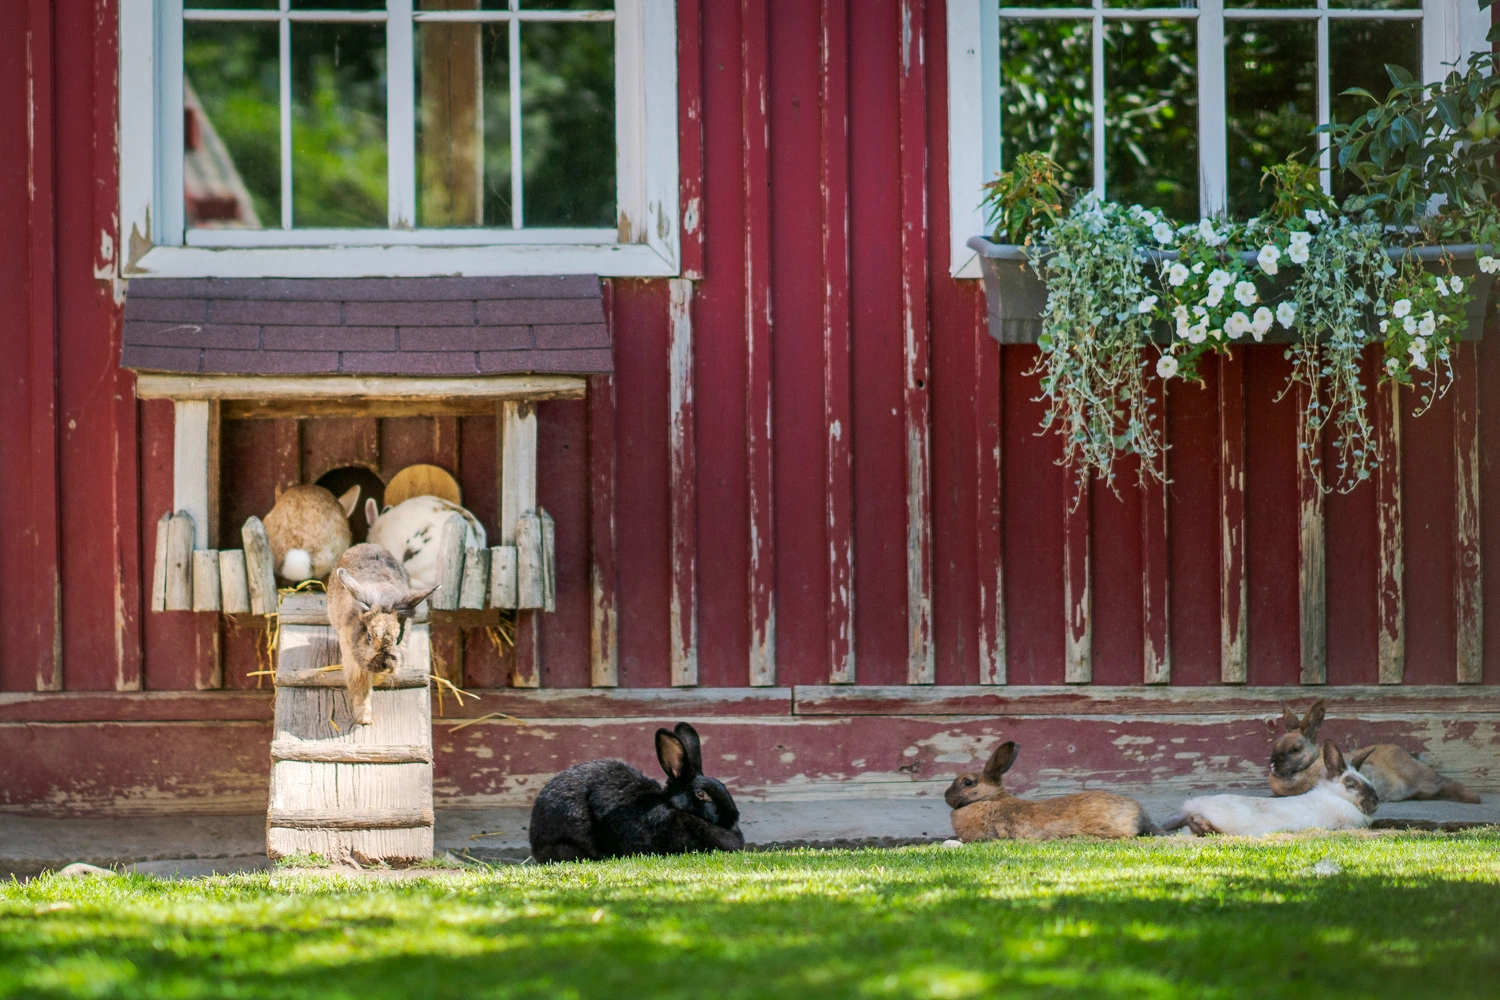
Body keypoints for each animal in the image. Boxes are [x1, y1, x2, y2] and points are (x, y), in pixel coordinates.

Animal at [327, 544, 436, 726]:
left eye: (398, 639)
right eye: (369, 637)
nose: (385, 664)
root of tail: (366, 545)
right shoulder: (353, 662)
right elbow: (360, 690)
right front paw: (364, 719)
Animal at [1269, 699, 1479, 803]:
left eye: (1295, 749)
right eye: (1275, 744)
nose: (1272, 764)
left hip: (1421, 778)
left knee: (1446, 783)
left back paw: (1473, 798)